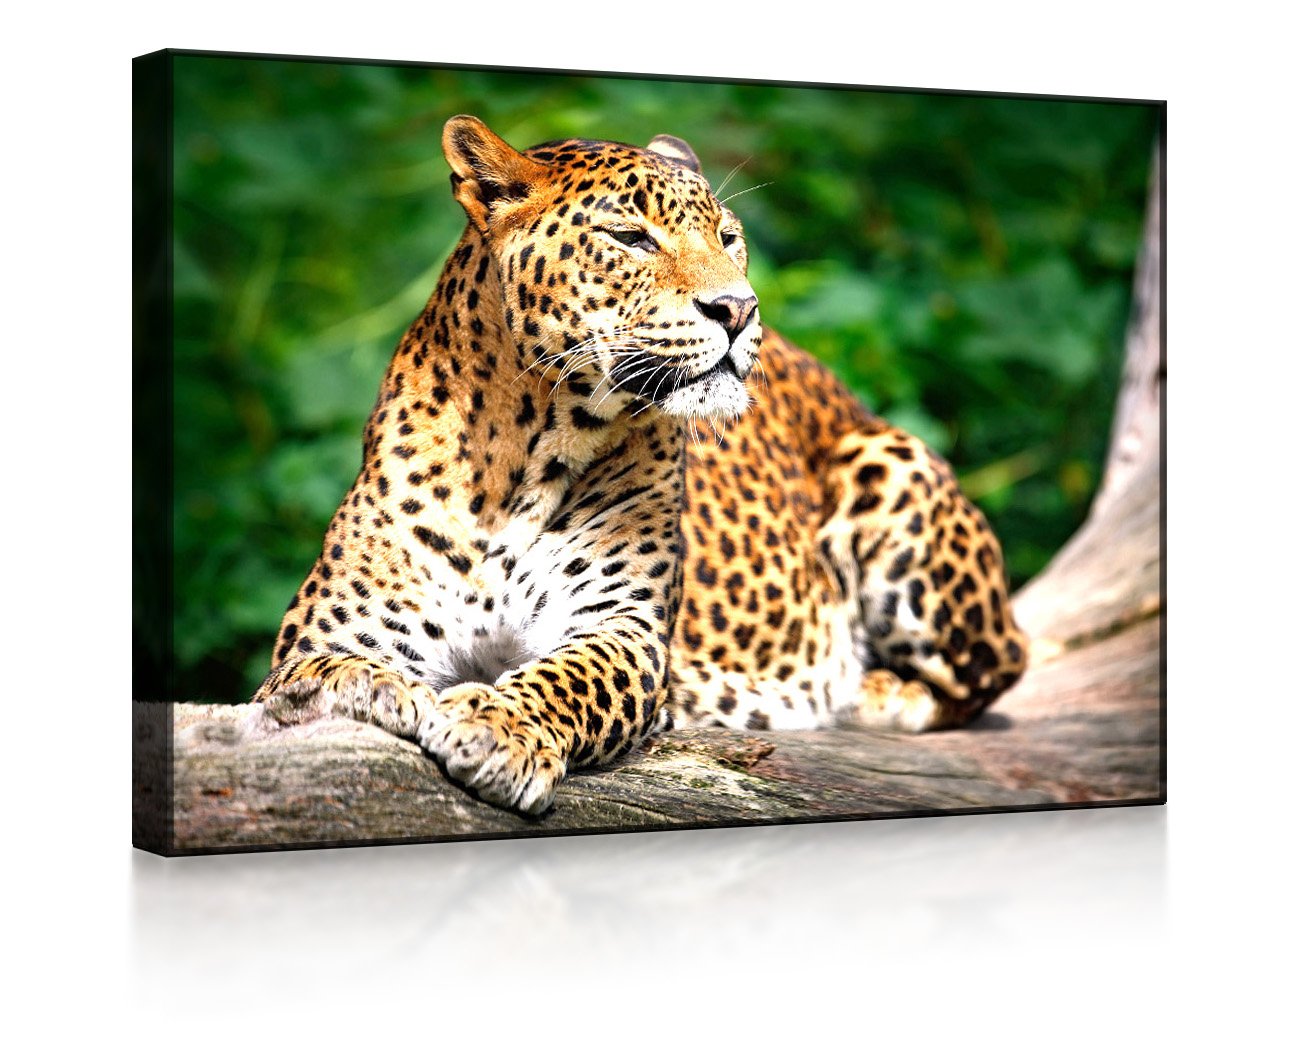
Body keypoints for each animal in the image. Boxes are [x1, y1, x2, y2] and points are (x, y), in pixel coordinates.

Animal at [253, 115, 1028, 816]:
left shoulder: (624, 626)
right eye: (630, 238)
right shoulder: (336, 626)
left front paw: (498, 728)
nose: (739, 309)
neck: (523, 451)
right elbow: (315, 672)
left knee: (996, 666)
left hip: (893, 465)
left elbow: (569, 677)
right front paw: (375, 691)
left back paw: (870, 690)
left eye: (728, 237)